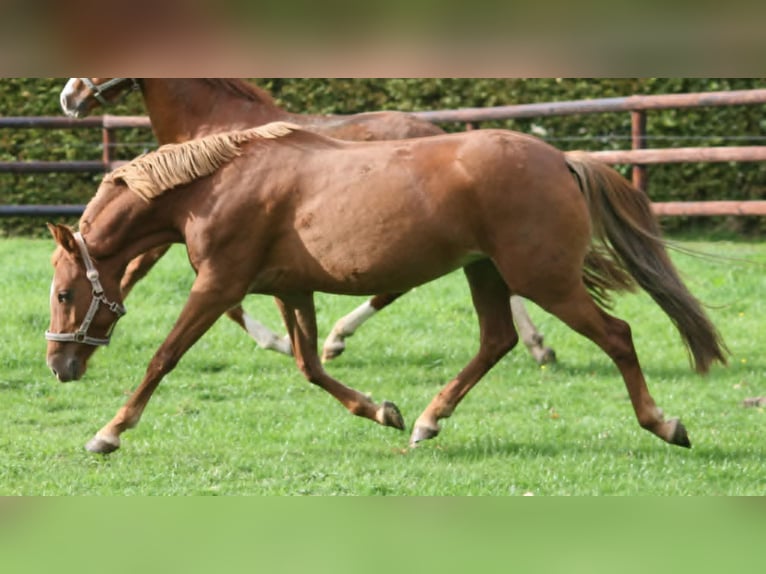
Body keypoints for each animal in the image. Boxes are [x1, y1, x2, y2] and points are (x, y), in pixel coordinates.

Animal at [45, 121, 728, 454]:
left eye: (62, 294)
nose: (58, 365)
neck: (216, 186)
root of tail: (560, 159)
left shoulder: (218, 286)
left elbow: (163, 357)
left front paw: (107, 433)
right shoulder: (291, 291)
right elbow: (311, 365)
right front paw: (383, 411)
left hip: (543, 278)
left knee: (617, 335)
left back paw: (666, 425)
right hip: (487, 271)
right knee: (497, 340)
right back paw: (428, 421)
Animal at [58, 76, 552, 364]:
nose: (69, 97)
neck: (214, 128)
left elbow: (187, 290)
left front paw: (277, 341)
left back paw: (337, 339)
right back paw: (538, 345)